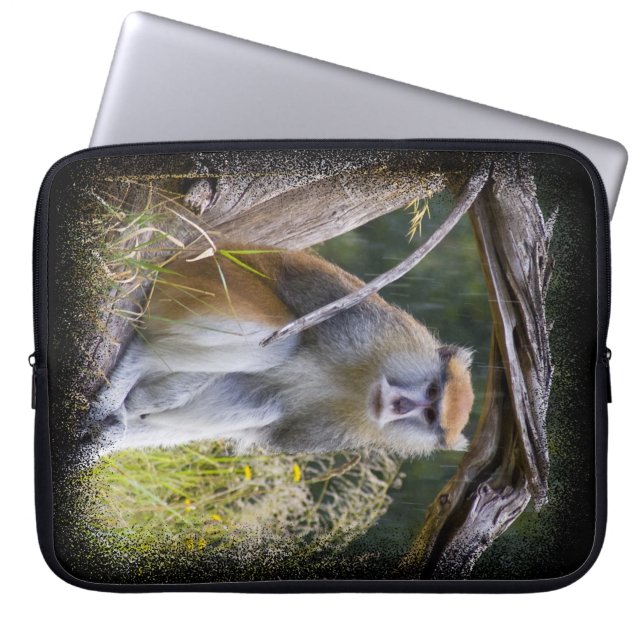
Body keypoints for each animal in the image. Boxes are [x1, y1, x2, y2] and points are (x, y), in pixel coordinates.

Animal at [88, 241, 475, 458]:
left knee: (261, 403)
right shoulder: (365, 326)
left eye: (430, 414)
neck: (360, 384)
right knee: (279, 345)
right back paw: (137, 357)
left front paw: (119, 426)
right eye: (432, 391)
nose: (401, 405)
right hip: (209, 278)